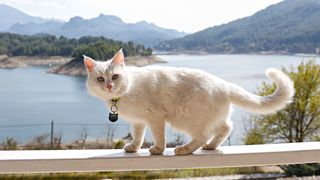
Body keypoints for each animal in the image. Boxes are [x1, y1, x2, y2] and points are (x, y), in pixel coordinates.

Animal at [84, 48, 294, 155]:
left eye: (115, 76)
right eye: (101, 79)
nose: (109, 86)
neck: (122, 94)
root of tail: (223, 84)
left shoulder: (155, 117)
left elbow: (159, 137)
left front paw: (158, 149)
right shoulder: (138, 122)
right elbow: (137, 137)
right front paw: (133, 148)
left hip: (184, 118)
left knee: (202, 136)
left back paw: (184, 149)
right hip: (210, 117)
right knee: (225, 128)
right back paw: (211, 146)